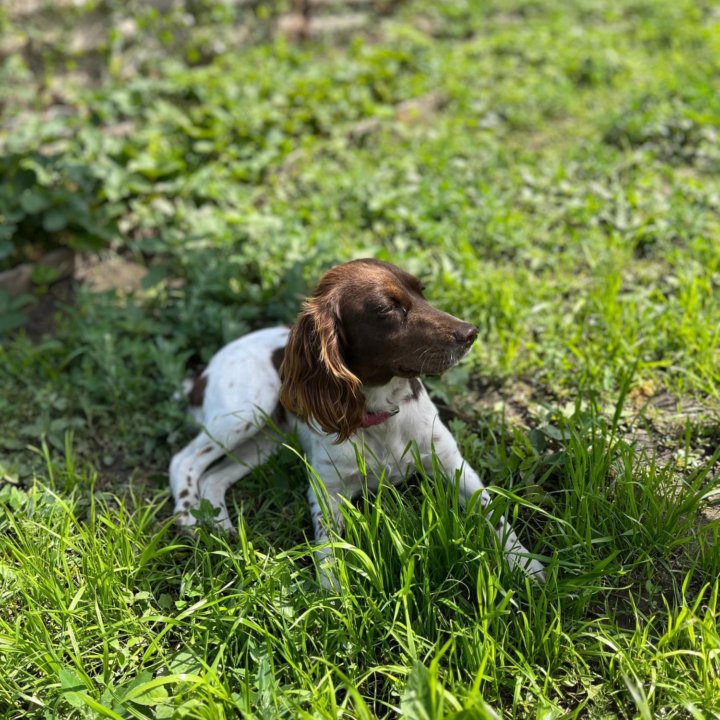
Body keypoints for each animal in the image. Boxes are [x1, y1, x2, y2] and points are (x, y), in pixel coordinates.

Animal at [169, 258, 544, 584]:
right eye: (388, 308)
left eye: (422, 291)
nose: (470, 333)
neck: (382, 413)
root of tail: (203, 372)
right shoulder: (326, 489)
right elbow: (329, 547)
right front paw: (335, 598)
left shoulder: (452, 463)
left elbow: (494, 512)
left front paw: (527, 565)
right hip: (246, 411)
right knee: (183, 460)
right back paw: (189, 519)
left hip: (266, 440)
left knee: (214, 478)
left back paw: (220, 527)